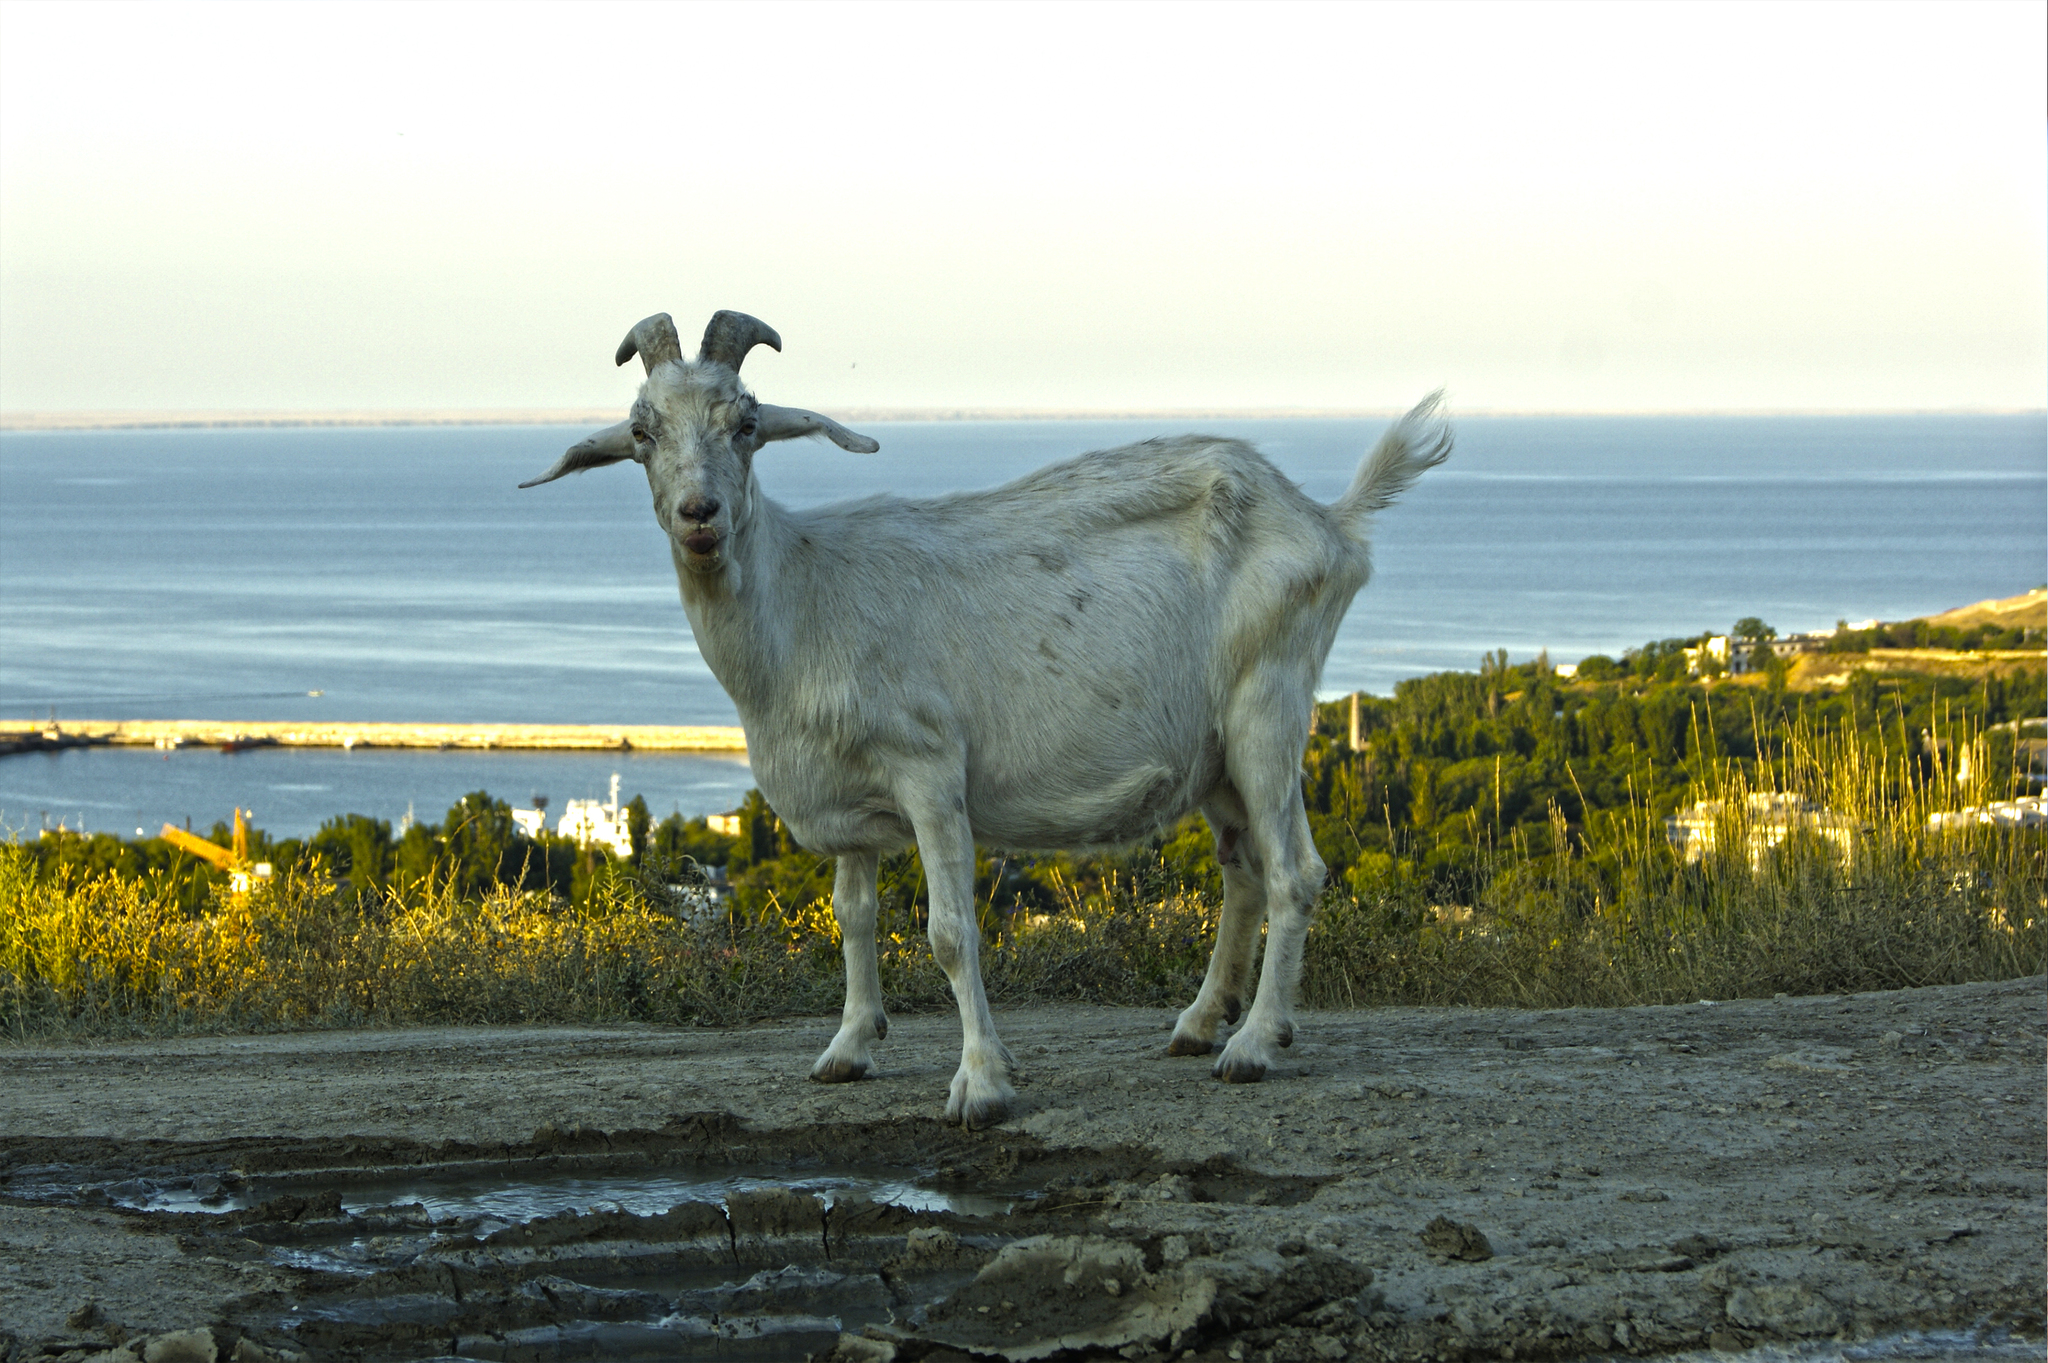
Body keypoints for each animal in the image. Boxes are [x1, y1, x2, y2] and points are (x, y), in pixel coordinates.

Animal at [520, 311, 1449, 1121]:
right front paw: (850, 1046)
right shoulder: (848, 794)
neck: (802, 592)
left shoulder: (930, 770)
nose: (699, 514)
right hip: (1215, 747)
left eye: (747, 422)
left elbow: (949, 931)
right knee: (1245, 869)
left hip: (1268, 699)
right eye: (641, 431)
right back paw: (1201, 1023)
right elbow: (853, 917)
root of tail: (1328, 521)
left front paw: (981, 1083)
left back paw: (1252, 1045)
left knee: (1296, 871)